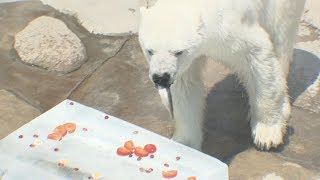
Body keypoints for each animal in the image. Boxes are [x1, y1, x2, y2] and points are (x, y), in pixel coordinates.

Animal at [139, 0, 306, 150]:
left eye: (178, 51)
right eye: (149, 50)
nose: (161, 77)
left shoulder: (230, 30)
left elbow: (258, 58)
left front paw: (266, 134)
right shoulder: (185, 63)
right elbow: (186, 85)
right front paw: (185, 143)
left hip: (282, 8)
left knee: (280, 42)